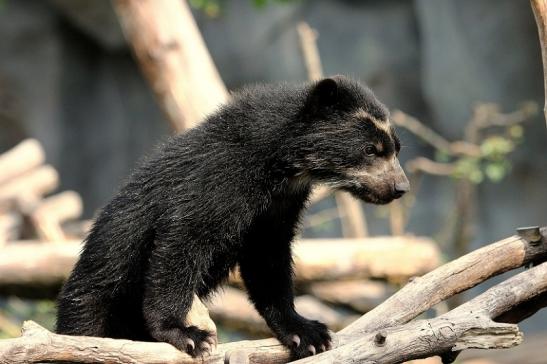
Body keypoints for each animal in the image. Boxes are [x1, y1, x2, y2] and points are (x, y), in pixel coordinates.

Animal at [56, 75, 412, 360]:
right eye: (370, 149)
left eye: (396, 148)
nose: (401, 187)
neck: (282, 167)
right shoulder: (217, 179)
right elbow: (182, 241)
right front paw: (186, 334)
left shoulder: (277, 208)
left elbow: (268, 260)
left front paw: (307, 333)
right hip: (96, 302)